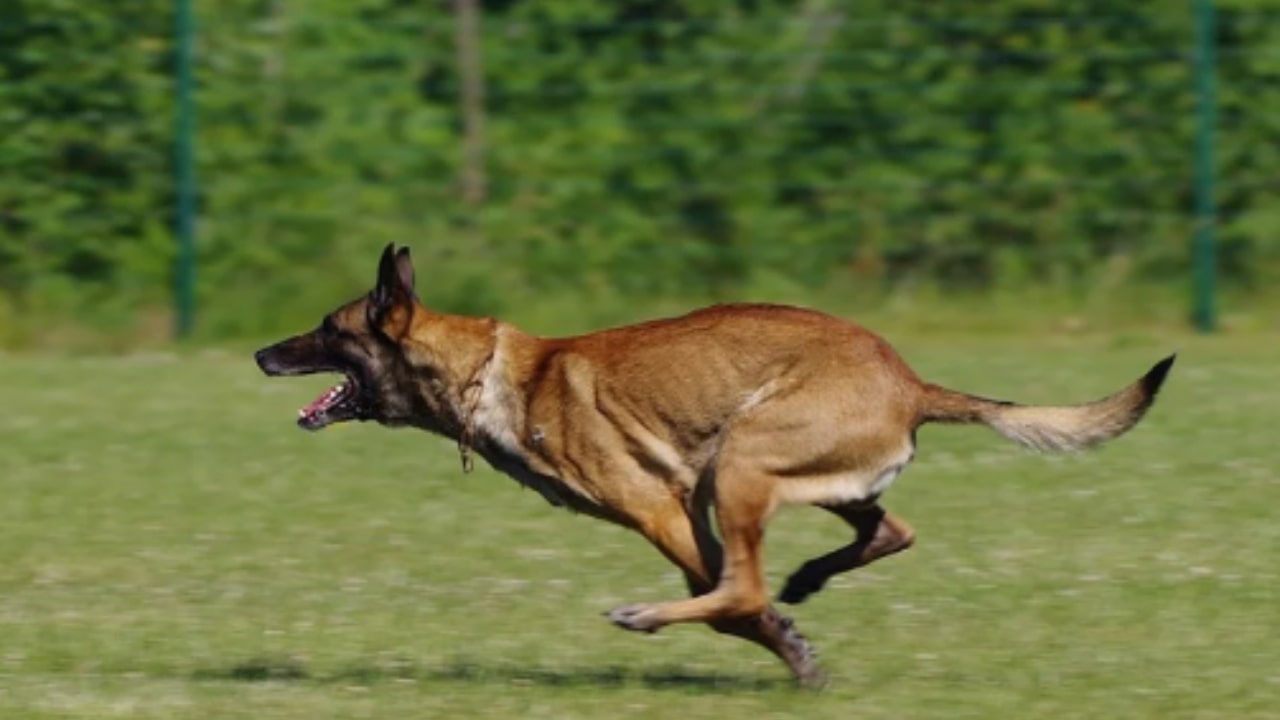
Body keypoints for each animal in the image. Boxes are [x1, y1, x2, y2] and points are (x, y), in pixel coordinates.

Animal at [254, 242, 1172, 681]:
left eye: (329, 329)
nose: (262, 353)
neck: (491, 374)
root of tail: (912, 382)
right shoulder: (687, 510)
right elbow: (736, 596)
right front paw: (793, 641)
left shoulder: (661, 509)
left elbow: (731, 600)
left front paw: (787, 650)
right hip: (799, 478)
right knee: (886, 530)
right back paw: (808, 580)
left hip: (743, 460)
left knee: (749, 584)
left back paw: (655, 615)